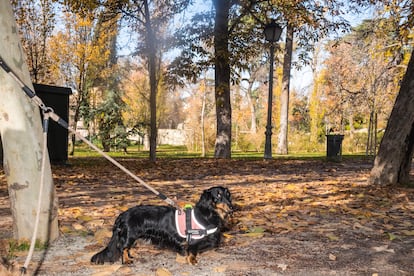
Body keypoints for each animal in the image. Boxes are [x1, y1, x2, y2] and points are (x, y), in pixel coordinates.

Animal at [90, 185, 233, 266]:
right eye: (217, 196)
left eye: (228, 195)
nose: (232, 208)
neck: (207, 214)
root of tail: (122, 215)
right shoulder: (192, 239)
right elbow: (192, 250)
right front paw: (192, 260)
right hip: (130, 235)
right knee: (123, 248)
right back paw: (126, 261)